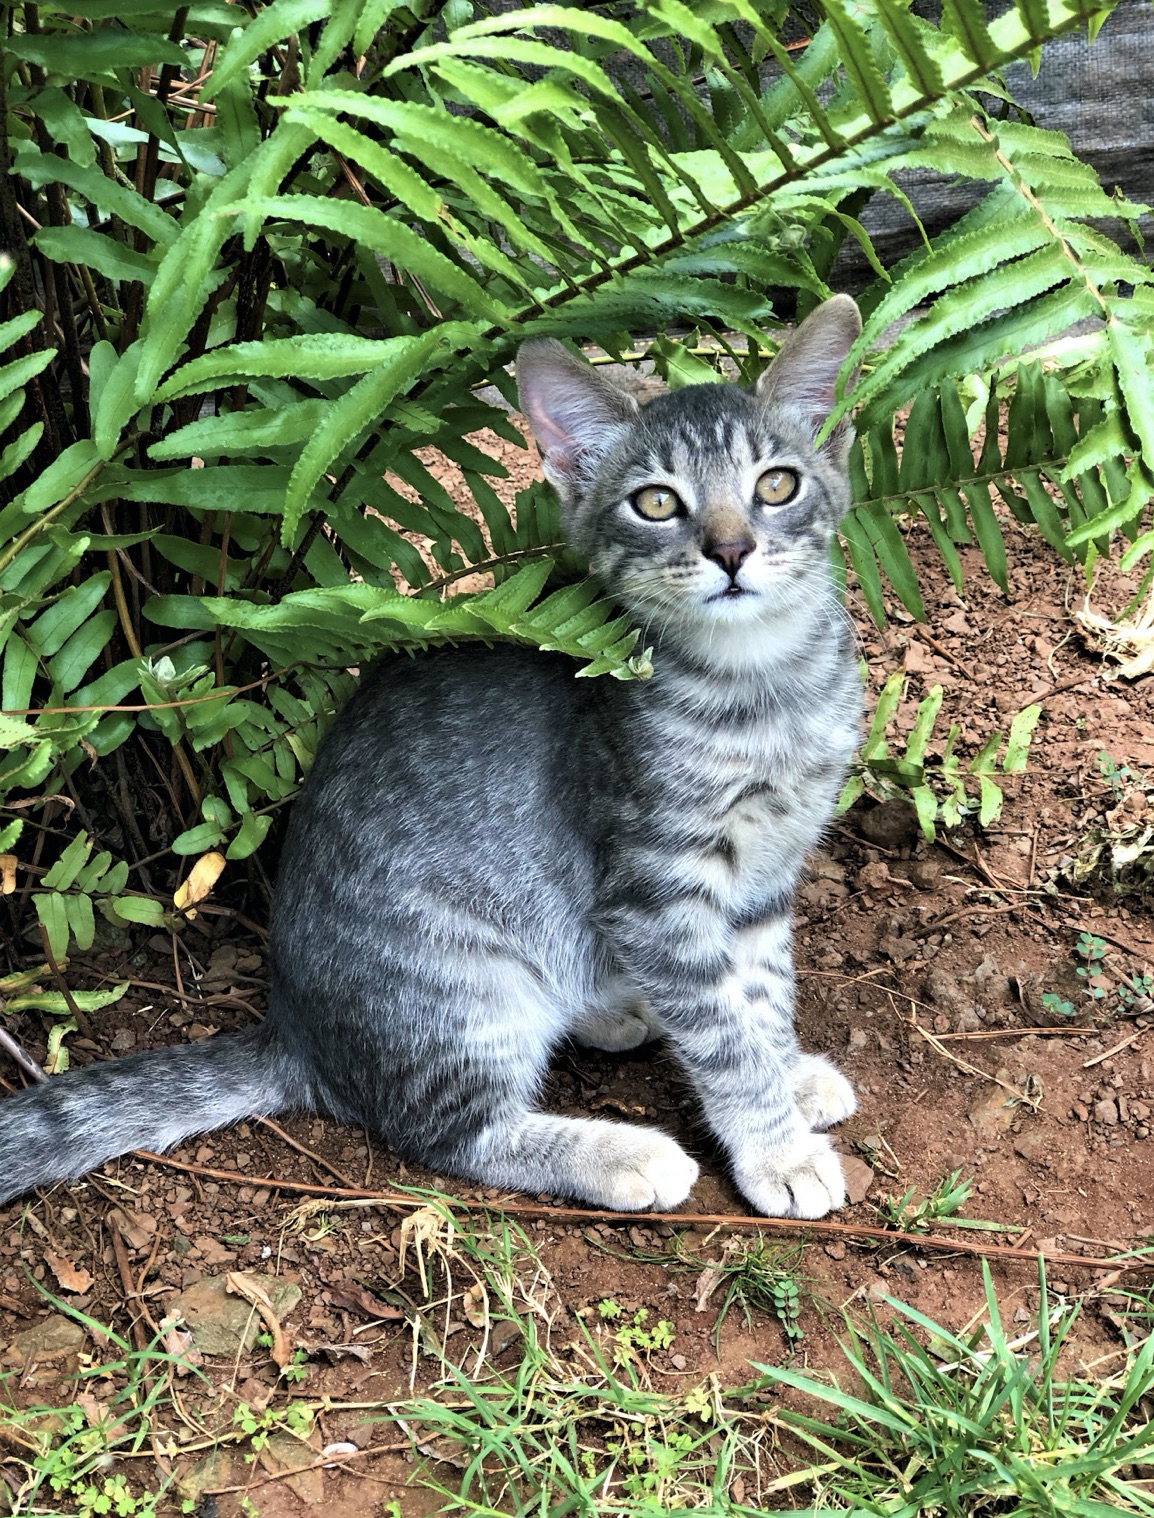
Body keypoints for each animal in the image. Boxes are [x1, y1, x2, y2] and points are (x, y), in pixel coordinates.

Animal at [0, 296, 862, 1220]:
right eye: (657, 502)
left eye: (776, 484)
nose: (731, 551)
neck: (767, 688)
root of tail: (295, 1032)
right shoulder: (654, 889)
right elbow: (722, 1030)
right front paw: (777, 1148)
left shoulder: (767, 872)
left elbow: (761, 992)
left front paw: (788, 1075)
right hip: (470, 987)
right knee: (452, 1135)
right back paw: (618, 1152)